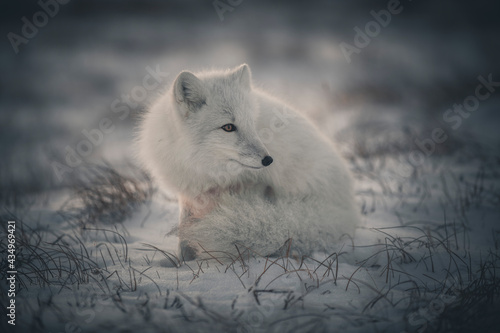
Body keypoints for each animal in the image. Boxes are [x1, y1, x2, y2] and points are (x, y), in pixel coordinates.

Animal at [137, 63, 360, 260]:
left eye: (252, 124)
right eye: (228, 127)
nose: (268, 160)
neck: (204, 168)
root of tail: (346, 211)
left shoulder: (257, 185)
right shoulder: (188, 191)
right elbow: (183, 232)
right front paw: (181, 262)